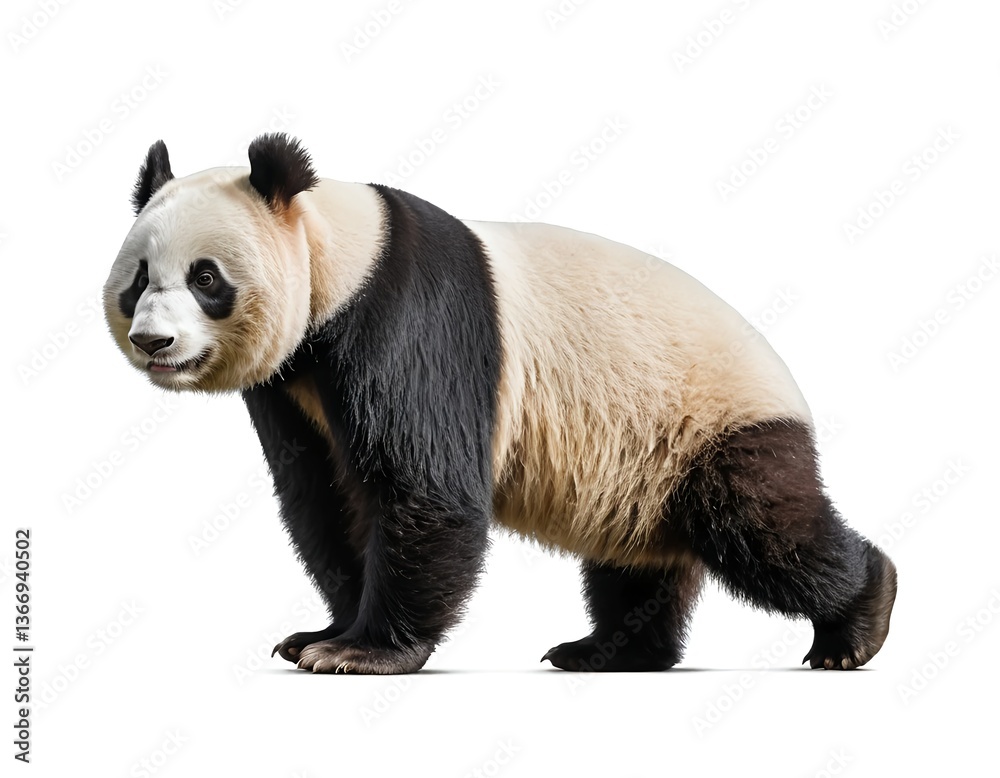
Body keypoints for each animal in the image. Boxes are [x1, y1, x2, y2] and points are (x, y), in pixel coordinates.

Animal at [104, 133, 897, 674]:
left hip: (712, 419)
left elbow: (425, 483)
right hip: (642, 458)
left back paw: (857, 623)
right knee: (636, 561)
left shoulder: (403, 319)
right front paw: (321, 635)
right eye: (137, 279)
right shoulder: (290, 384)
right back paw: (607, 650)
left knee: (765, 529)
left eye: (207, 277)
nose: (153, 342)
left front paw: (361, 652)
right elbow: (320, 498)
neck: (340, 259)